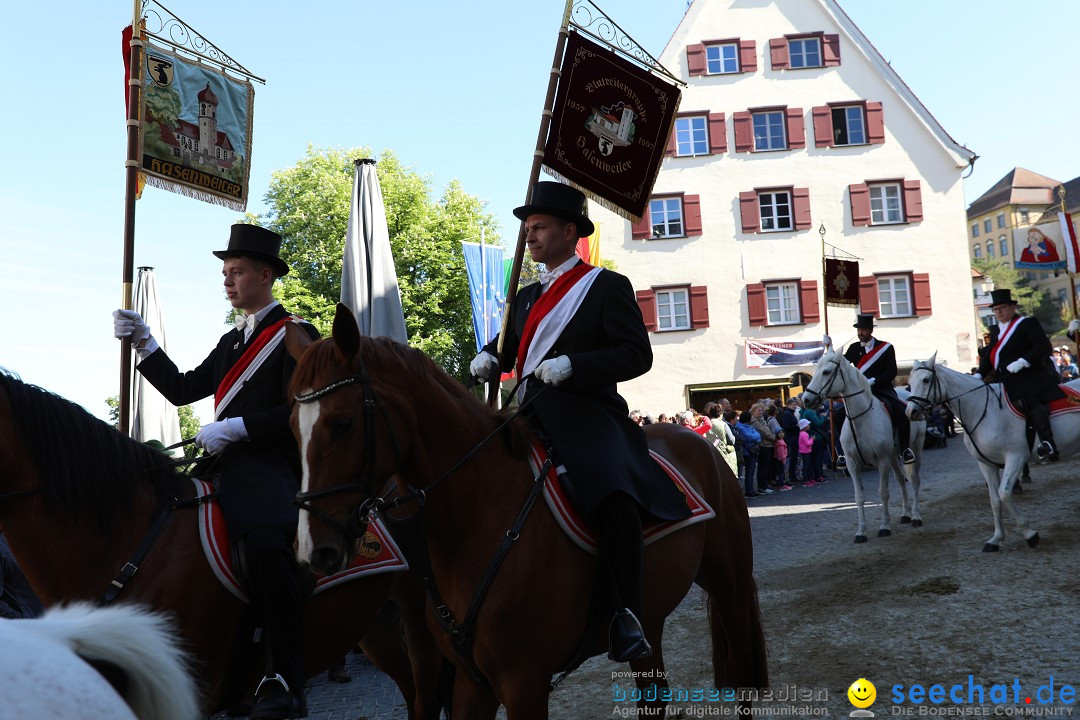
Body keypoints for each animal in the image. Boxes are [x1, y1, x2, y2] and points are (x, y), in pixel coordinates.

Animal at [282, 306, 764, 720]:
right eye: (291, 429)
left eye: (342, 424)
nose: (313, 552)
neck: (478, 517)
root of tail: (700, 444)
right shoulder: (471, 684)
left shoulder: (523, 683)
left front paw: (554, 368)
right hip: (651, 613)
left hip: (730, 586)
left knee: (742, 677)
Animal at [803, 347, 928, 539]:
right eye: (816, 370)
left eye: (826, 372)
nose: (806, 399)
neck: (860, 418)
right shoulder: (852, 463)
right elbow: (859, 497)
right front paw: (861, 531)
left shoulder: (882, 461)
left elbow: (883, 493)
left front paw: (884, 527)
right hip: (893, 456)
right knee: (901, 479)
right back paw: (905, 514)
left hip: (916, 447)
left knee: (914, 480)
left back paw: (915, 516)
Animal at [911, 354, 1080, 552]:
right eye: (909, 382)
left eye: (925, 380)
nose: (910, 411)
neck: (983, 411)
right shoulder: (986, 464)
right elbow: (994, 500)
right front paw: (996, 538)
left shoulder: (1016, 457)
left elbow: (1004, 494)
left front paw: (1030, 534)